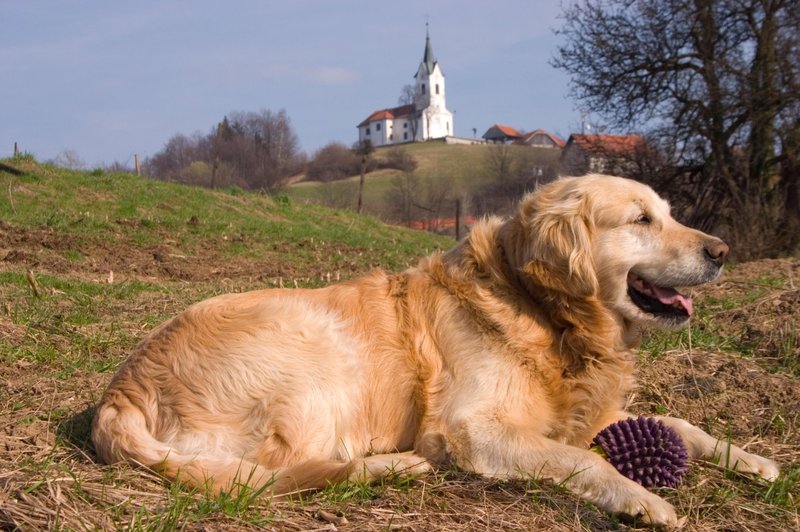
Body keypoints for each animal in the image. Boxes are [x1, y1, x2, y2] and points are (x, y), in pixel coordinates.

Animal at [92, 176, 776, 528]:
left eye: (669, 213)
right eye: (640, 220)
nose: (722, 251)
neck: (543, 311)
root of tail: (119, 393)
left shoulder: (595, 413)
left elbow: (680, 424)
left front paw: (754, 461)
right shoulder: (473, 428)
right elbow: (583, 460)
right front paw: (644, 499)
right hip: (316, 353)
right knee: (289, 473)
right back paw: (397, 465)